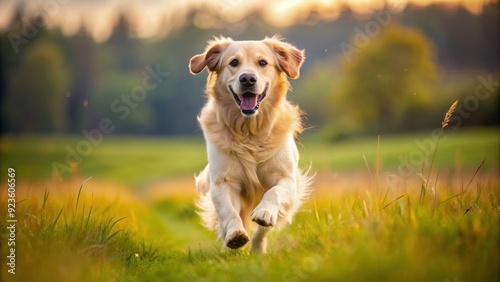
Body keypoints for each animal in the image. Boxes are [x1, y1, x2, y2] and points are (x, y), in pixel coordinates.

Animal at [188, 35, 310, 253]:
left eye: (262, 62)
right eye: (234, 62)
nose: (247, 79)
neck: (250, 132)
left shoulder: (287, 179)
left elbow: (273, 193)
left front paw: (264, 212)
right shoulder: (222, 182)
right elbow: (229, 212)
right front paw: (235, 235)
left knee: (263, 231)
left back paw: (258, 249)